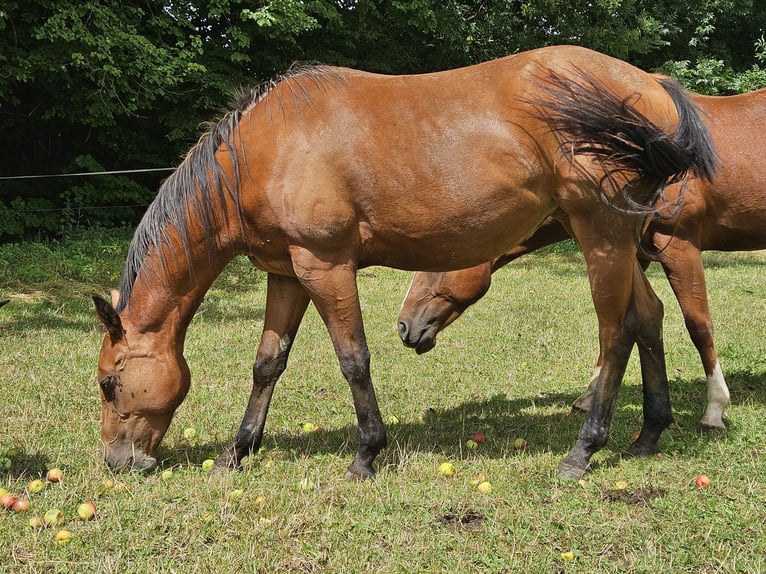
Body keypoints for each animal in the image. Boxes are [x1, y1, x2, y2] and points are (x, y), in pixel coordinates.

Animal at [92, 45, 717, 481]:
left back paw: (583, 450)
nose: (118, 463)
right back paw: (648, 434)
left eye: (108, 382)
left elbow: (353, 359)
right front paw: (236, 452)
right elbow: (268, 363)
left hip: (600, 234)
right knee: (647, 317)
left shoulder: (325, 266)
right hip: (620, 237)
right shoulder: (286, 272)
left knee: (616, 331)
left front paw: (367, 455)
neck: (267, 149)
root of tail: (650, 85)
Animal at [398, 87, 766, 434]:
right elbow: (617, 323)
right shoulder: (633, 253)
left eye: (434, 265)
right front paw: (590, 395)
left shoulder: (679, 246)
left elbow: (698, 325)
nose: (403, 326)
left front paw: (714, 410)